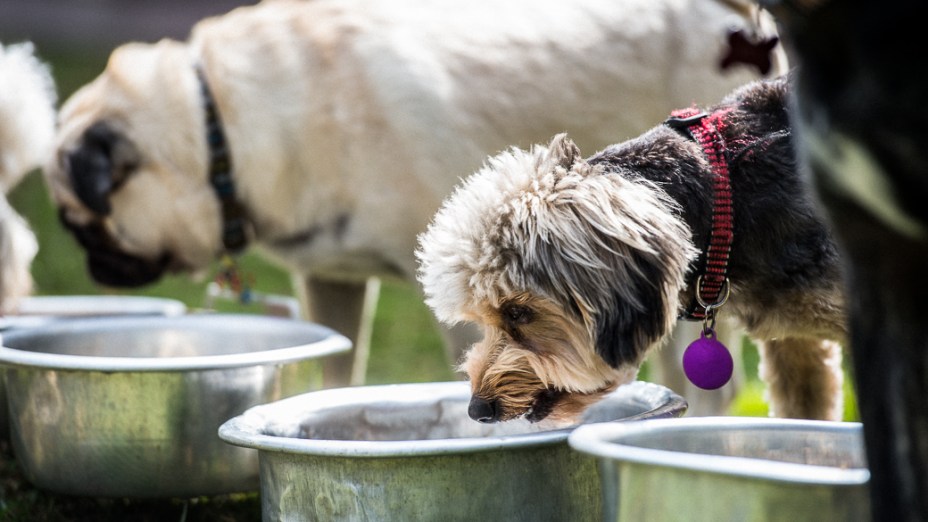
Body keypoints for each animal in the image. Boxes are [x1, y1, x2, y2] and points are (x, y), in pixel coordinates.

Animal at [45, 0, 784, 388]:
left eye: (82, 222)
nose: (92, 264)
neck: (217, 122)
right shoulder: (334, 281)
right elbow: (338, 366)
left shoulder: (466, 306)